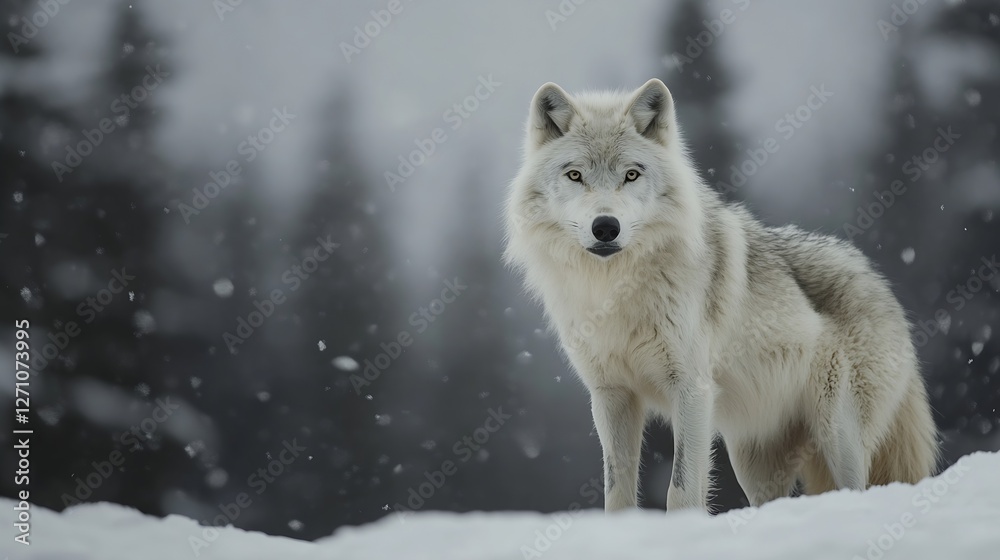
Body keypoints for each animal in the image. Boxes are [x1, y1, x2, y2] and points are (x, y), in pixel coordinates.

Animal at [503, 79, 938, 512]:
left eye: (631, 174)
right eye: (575, 175)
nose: (605, 227)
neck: (613, 289)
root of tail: (878, 281)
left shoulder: (692, 390)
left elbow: (680, 489)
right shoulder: (611, 396)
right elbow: (617, 493)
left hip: (838, 436)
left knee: (855, 489)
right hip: (753, 462)